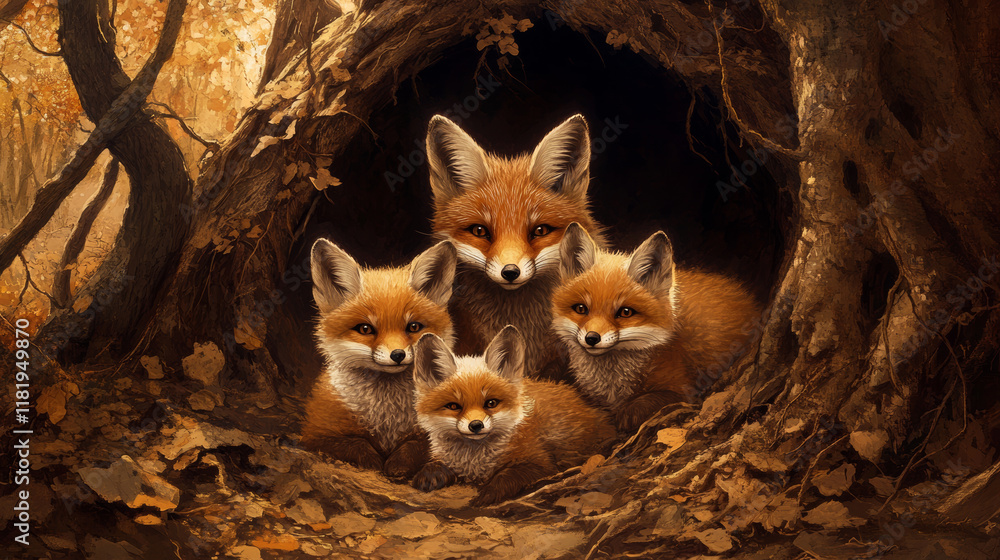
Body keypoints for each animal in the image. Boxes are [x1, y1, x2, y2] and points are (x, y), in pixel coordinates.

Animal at [300, 238, 457, 478]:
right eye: (365, 329)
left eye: (413, 327)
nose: (398, 355)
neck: (387, 421)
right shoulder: (315, 433)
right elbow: (356, 444)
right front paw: (373, 461)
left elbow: (418, 445)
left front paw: (399, 464)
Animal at [409, 326, 616, 506]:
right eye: (453, 406)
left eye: (491, 403)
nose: (475, 425)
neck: (474, 463)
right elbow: (435, 463)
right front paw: (430, 474)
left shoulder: (541, 463)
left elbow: (507, 475)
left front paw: (489, 493)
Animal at [552, 222, 762, 432]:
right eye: (581, 309)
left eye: (625, 312)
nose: (592, 338)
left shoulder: (684, 391)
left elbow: (643, 404)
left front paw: (624, 415)